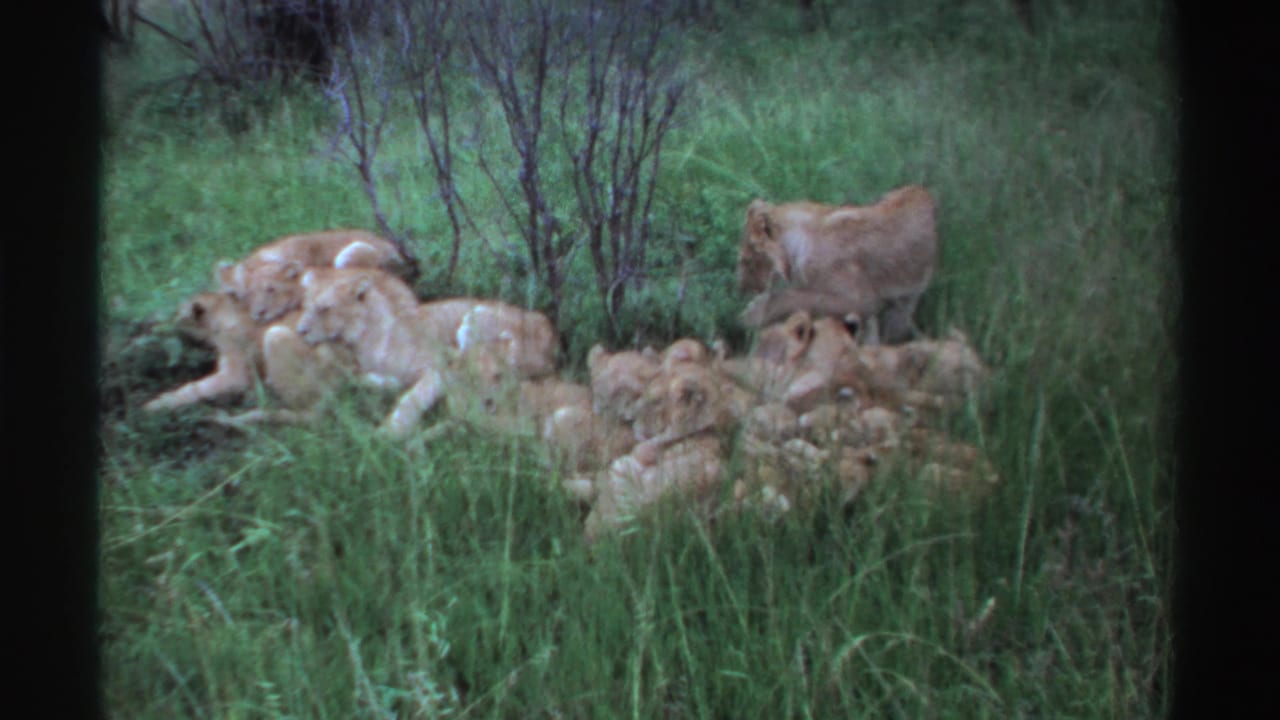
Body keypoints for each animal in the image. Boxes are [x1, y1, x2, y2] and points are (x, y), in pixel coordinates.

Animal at [736, 184, 937, 345]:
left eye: (746, 261)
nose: (743, 288)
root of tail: (921, 190)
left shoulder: (862, 299)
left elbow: (800, 298)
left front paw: (754, 313)